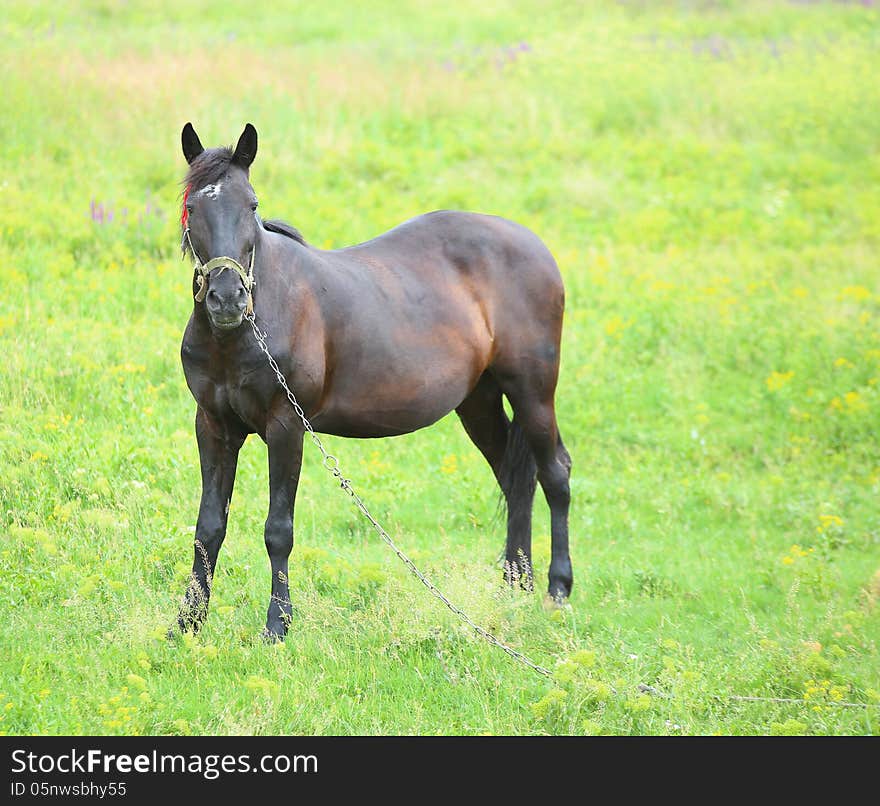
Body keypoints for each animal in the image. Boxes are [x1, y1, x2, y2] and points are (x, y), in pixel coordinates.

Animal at [174, 123, 576, 640]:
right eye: (192, 206)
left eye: (253, 204)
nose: (227, 298)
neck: (245, 330)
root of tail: (535, 246)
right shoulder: (213, 426)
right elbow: (209, 528)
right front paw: (187, 622)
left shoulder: (286, 427)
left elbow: (278, 529)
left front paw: (277, 626)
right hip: (479, 400)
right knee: (514, 477)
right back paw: (514, 585)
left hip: (533, 390)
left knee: (555, 473)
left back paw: (557, 589)